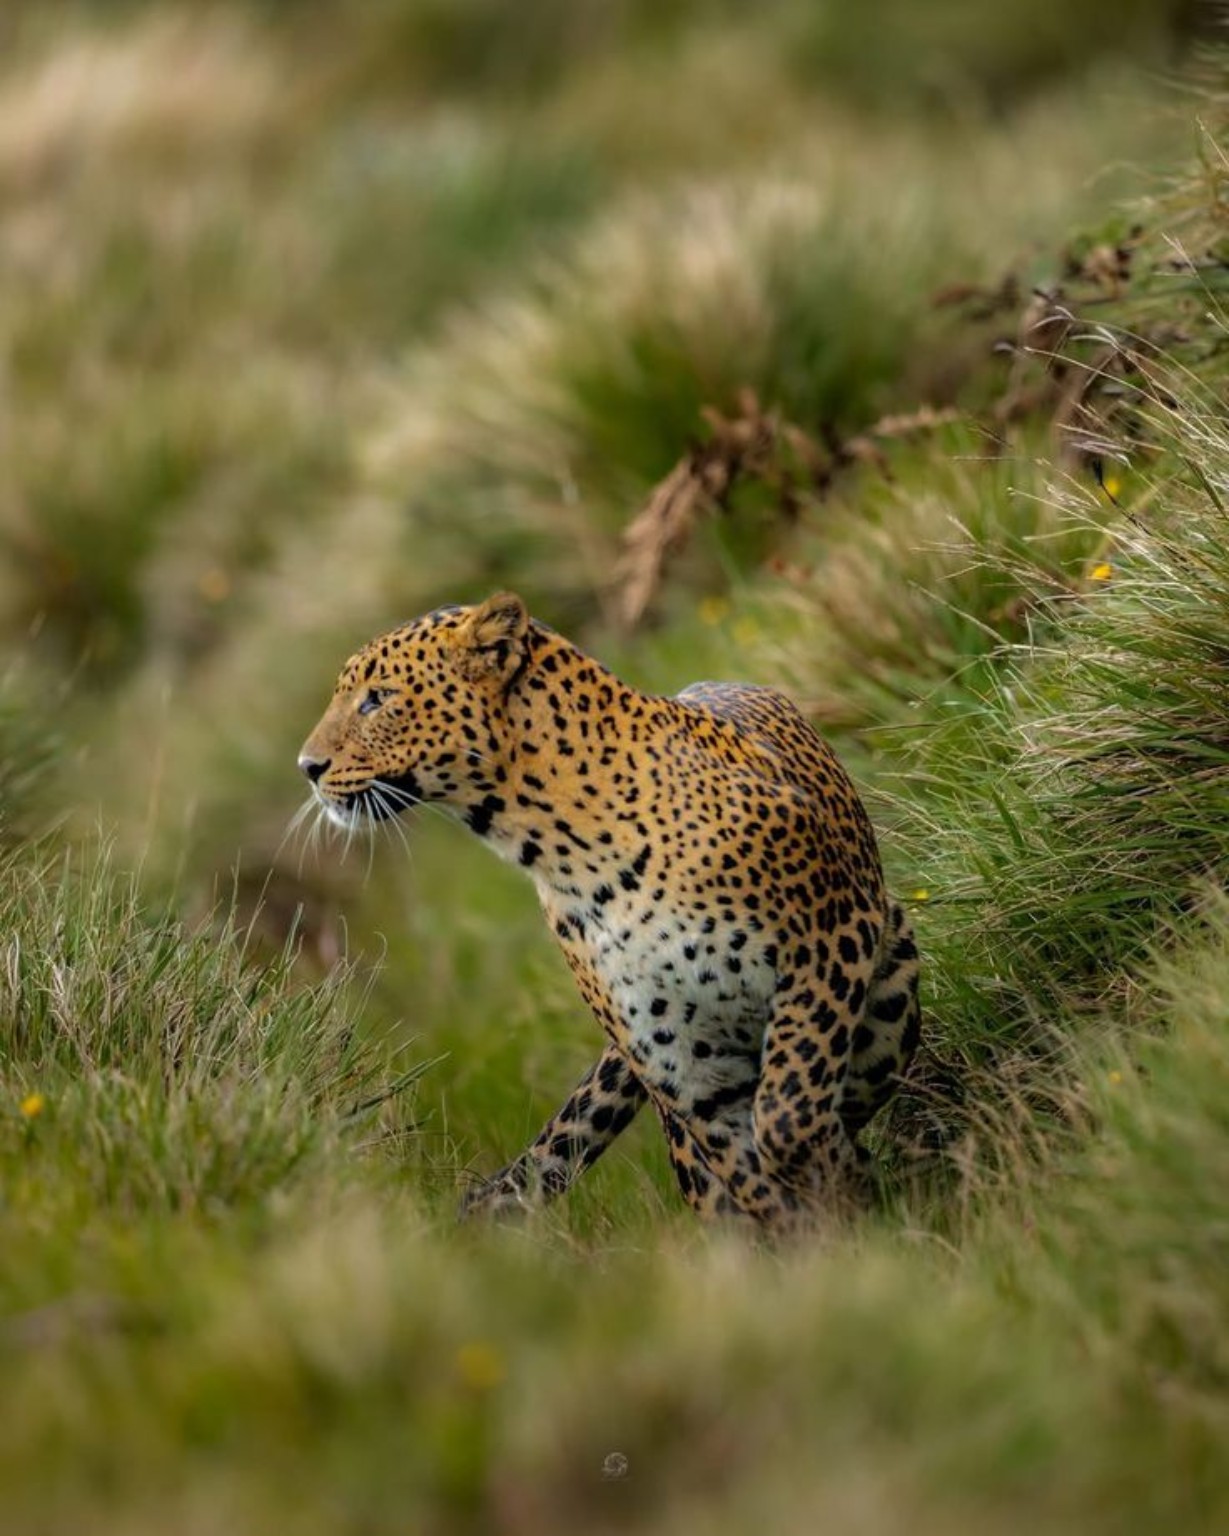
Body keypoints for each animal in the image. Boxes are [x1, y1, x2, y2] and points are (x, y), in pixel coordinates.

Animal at [298, 592, 921, 1229]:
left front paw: (850, 1200)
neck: (565, 847)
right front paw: (823, 1230)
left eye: (377, 698)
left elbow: (788, 1108)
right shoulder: (680, 1059)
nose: (308, 766)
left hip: (889, 986)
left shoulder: (826, 944)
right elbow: (753, 1179)